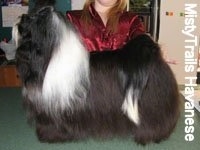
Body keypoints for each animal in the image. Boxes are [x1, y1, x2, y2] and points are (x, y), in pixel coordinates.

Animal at [12, 6, 181, 144]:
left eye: (28, 21)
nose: (20, 17)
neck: (48, 58)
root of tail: (152, 53)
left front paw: (52, 136)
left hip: (152, 105)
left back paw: (151, 136)